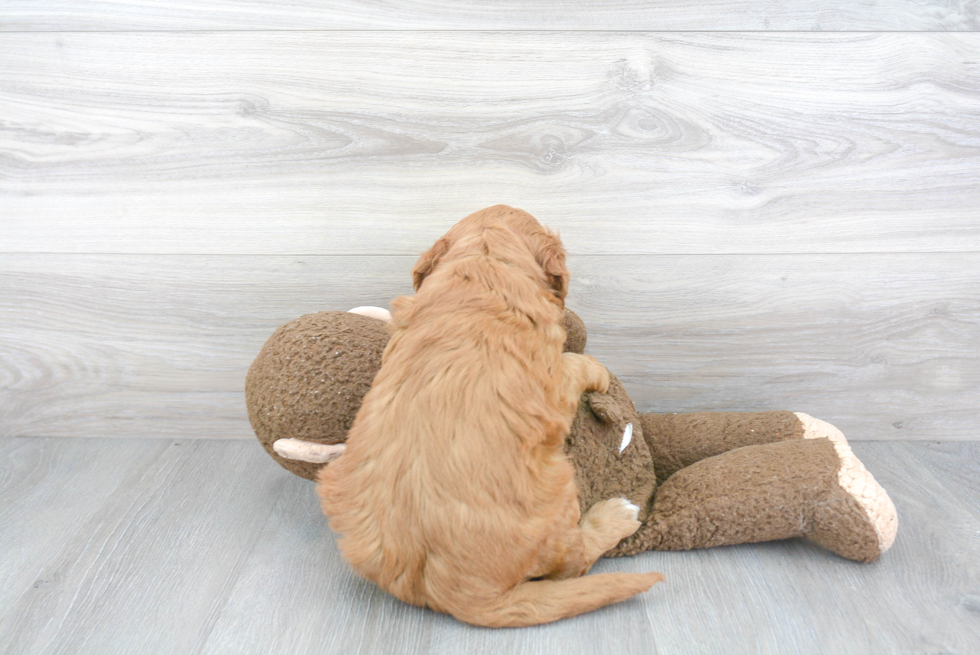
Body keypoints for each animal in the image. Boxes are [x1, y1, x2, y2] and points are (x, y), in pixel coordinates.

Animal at [318, 208, 664, 628]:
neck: (482, 266)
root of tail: (459, 594)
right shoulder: (552, 383)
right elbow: (575, 362)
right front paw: (598, 372)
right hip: (557, 489)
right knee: (574, 561)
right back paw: (616, 515)